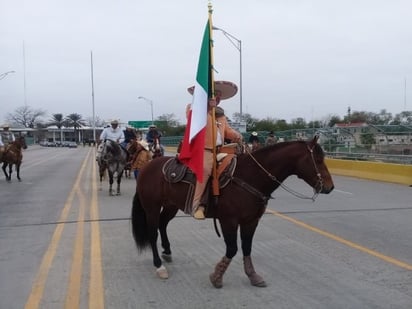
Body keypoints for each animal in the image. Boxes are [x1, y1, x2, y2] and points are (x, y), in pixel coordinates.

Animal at [130, 136, 334, 288]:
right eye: (317, 160)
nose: (330, 187)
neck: (249, 177)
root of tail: (148, 167)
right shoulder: (228, 220)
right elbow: (232, 248)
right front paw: (216, 277)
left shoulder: (251, 221)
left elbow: (247, 247)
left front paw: (253, 276)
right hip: (151, 207)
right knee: (152, 233)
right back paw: (159, 266)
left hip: (171, 206)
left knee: (163, 224)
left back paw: (167, 252)